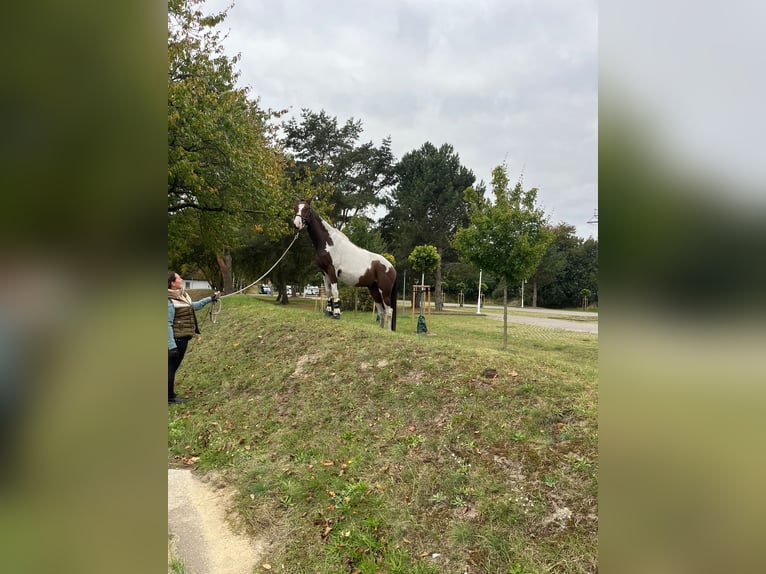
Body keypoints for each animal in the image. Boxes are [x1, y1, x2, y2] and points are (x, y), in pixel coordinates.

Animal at [294, 199, 400, 330]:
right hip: (374, 290)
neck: (328, 242)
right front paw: (328, 313)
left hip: (384, 291)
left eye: (306, 209)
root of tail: (392, 268)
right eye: (295, 208)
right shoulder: (324, 272)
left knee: (389, 311)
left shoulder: (332, 271)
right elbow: (328, 291)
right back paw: (381, 330)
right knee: (381, 311)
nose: (296, 223)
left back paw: (388, 331)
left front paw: (336, 315)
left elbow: (335, 292)